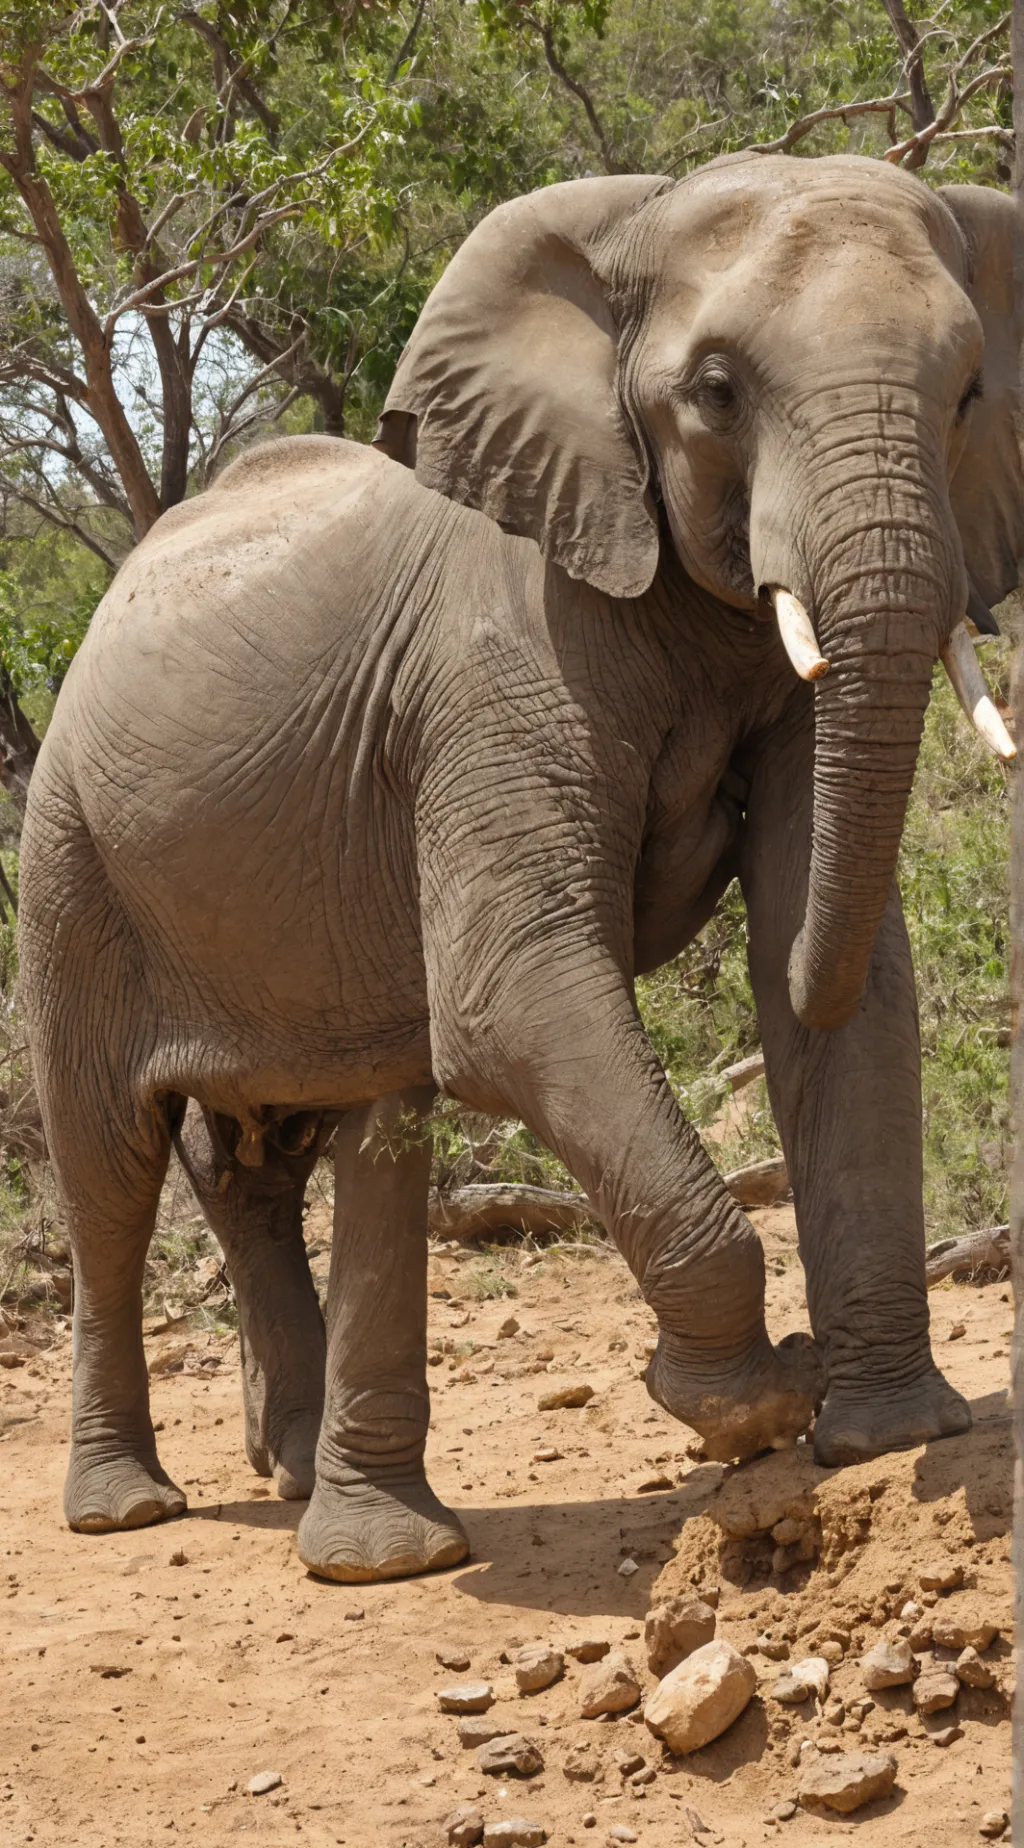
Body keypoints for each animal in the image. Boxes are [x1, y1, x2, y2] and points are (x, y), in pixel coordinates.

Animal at [18, 151, 1023, 1585]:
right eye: (716, 392)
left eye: (969, 394)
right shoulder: (495, 660)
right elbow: (513, 994)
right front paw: (746, 1408)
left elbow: (854, 995)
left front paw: (885, 1437)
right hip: (71, 856)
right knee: (109, 1165)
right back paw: (132, 1510)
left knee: (303, 1143)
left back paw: (317, 1492)